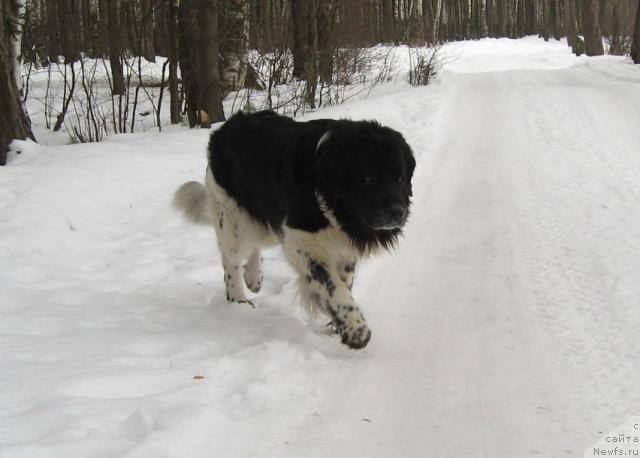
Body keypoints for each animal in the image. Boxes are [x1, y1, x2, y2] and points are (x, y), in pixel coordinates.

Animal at [174, 110, 416, 348]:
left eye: (400, 178)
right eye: (368, 179)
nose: (397, 212)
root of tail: (224, 128)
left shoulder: (340, 247)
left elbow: (344, 282)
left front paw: (337, 324)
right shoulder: (302, 240)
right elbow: (333, 285)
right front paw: (355, 329)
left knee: (255, 245)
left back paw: (253, 278)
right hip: (235, 220)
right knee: (230, 257)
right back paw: (238, 298)